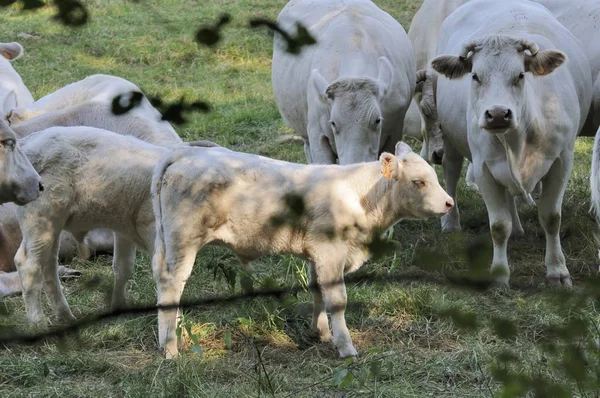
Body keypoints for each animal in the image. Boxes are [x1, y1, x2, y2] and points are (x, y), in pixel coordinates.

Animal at [151, 141, 454, 360]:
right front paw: (346, 348)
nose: (450, 203)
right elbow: (337, 300)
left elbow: (318, 291)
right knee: (173, 286)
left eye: (434, 176)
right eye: (418, 182)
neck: (359, 198)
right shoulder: (331, 253)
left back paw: (175, 339)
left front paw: (322, 334)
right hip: (183, 241)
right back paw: (171, 350)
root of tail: (186, 153)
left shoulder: (316, 255)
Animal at [428, 0, 592, 286]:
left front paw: (558, 271)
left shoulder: (562, 161)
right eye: (475, 76)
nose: (497, 114)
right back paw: (450, 222)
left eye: (520, 75)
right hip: (449, 137)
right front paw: (500, 274)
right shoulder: (483, 168)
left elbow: (551, 217)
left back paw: (517, 227)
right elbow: (498, 225)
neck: (519, 139)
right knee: (451, 171)